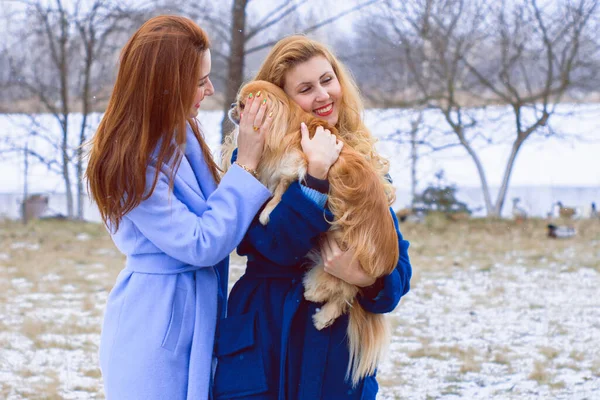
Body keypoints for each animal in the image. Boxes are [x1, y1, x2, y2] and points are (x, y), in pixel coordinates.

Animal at [229, 80, 398, 384]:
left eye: (244, 104)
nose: (231, 107)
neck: (287, 127)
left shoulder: (295, 165)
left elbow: (280, 189)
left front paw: (266, 213)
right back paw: (322, 315)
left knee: (344, 292)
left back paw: (316, 299)